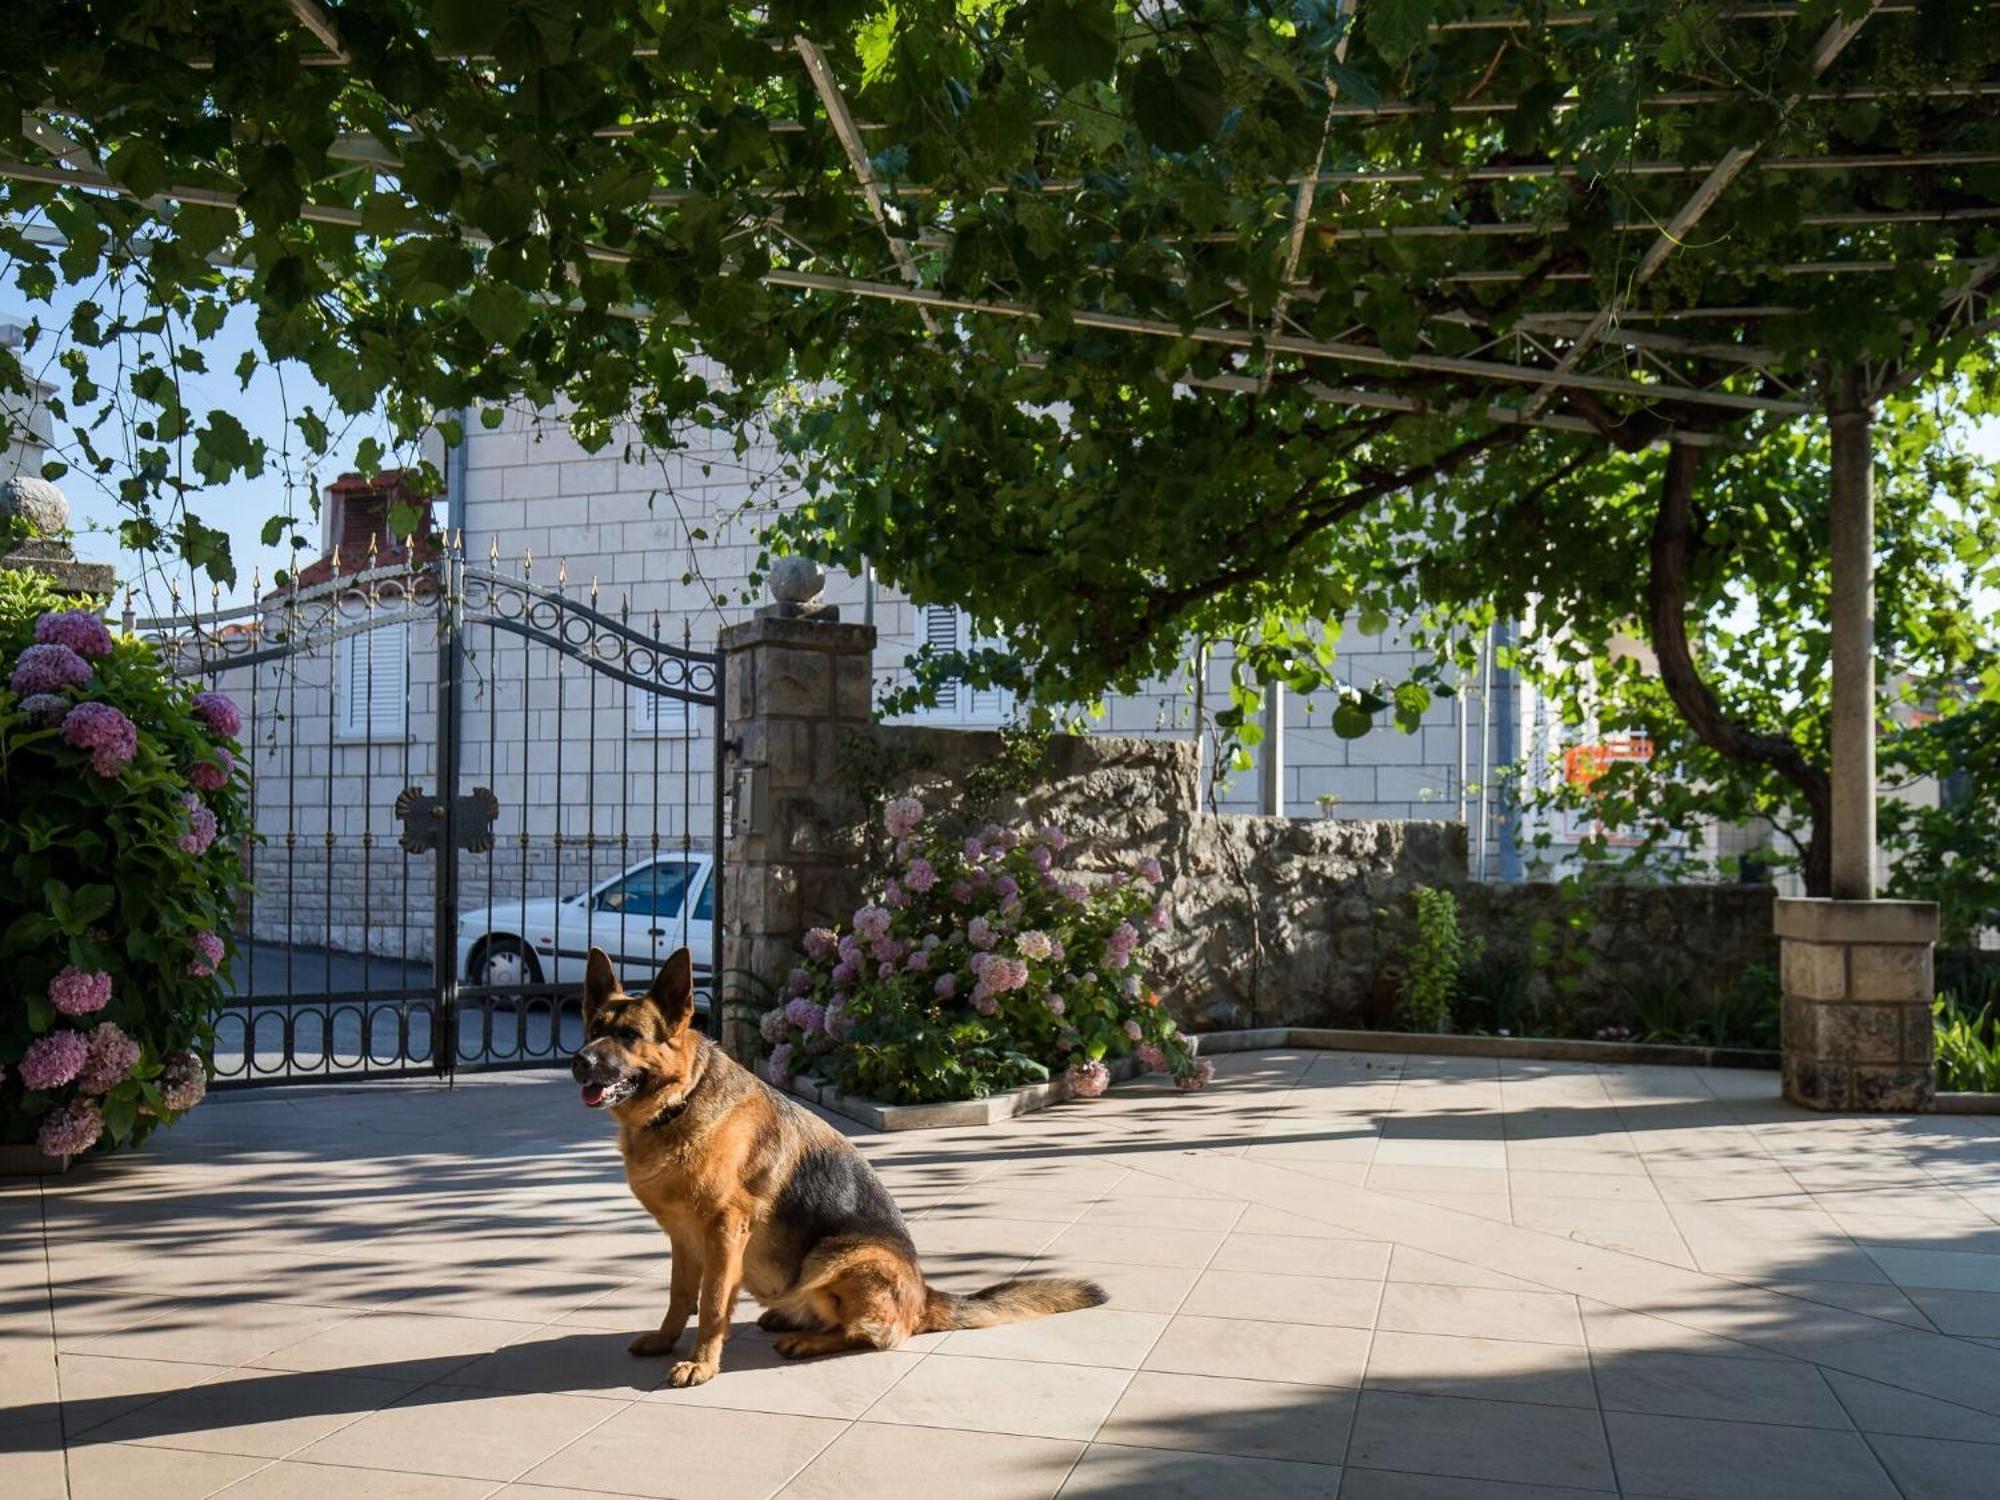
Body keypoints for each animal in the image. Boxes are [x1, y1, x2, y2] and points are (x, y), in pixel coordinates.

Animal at [572, 952, 1112, 1384]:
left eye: (629, 1035)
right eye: (594, 1029)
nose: (579, 1062)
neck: (678, 1104)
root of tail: (923, 1295)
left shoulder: (724, 1232)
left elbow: (711, 1305)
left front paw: (702, 1364)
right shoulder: (683, 1237)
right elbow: (680, 1296)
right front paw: (666, 1341)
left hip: (840, 1256)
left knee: (872, 1335)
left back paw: (807, 1339)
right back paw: (788, 1319)